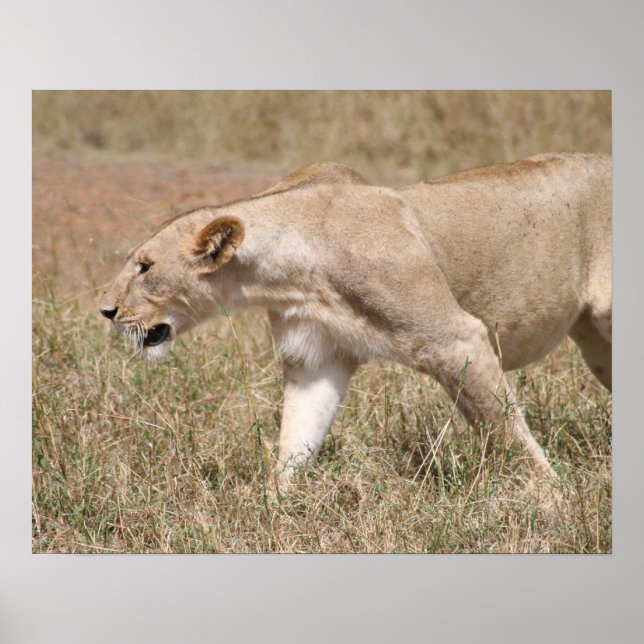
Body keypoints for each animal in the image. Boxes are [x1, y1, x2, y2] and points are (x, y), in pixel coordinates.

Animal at [100, 153, 611, 485]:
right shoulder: (315, 359)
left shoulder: (455, 339)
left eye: (145, 267)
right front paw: (277, 506)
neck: (288, 273)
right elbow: (296, 437)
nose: (105, 310)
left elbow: (502, 429)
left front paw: (552, 501)